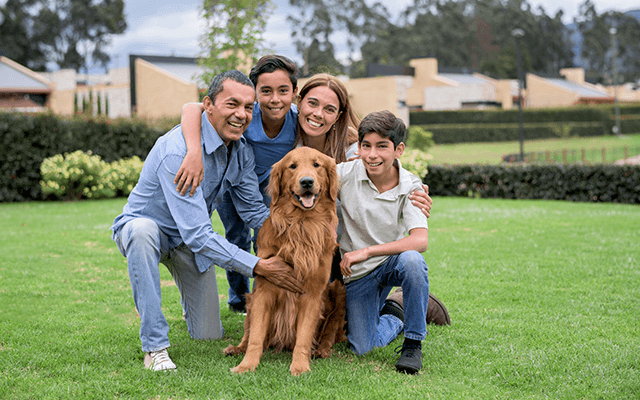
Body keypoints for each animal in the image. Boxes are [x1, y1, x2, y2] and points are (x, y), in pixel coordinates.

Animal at [224, 147, 344, 376]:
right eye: (293, 166)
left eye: (317, 165)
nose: (306, 182)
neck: (301, 224)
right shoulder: (264, 290)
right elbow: (256, 336)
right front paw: (246, 365)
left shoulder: (313, 294)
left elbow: (304, 338)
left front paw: (300, 366)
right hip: (251, 299)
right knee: (248, 332)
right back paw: (237, 348)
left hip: (338, 290)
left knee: (331, 329)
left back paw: (321, 350)